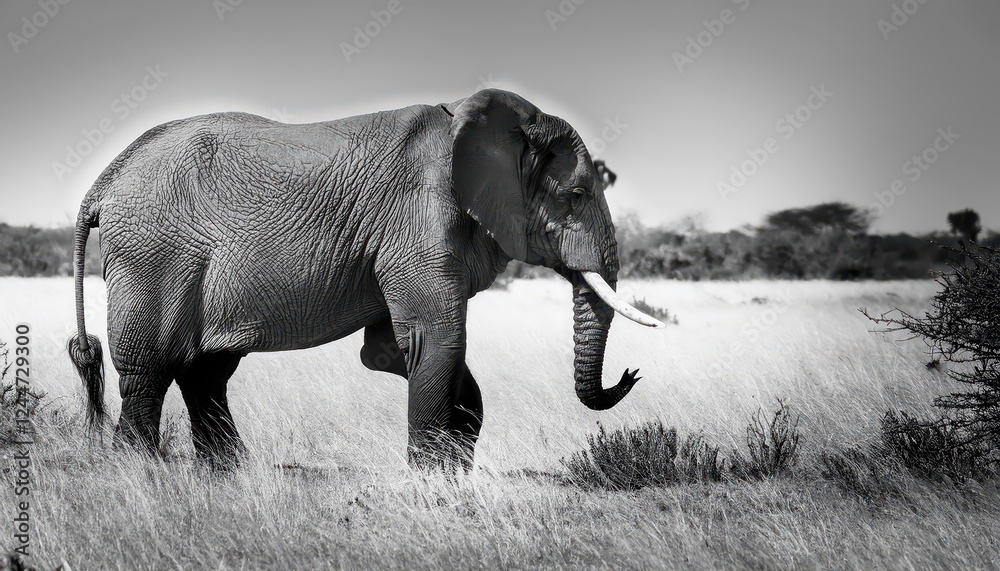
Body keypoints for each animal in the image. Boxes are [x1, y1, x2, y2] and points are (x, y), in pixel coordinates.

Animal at [66, 88, 665, 471]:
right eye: (576, 196)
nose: (630, 375)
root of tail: (104, 182)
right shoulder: (418, 217)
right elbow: (437, 340)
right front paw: (433, 487)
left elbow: (396, 352)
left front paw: (454, 476)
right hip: (153, 255)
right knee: (151, 368)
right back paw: (140, 472)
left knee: (206, 371)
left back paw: (229, 474)